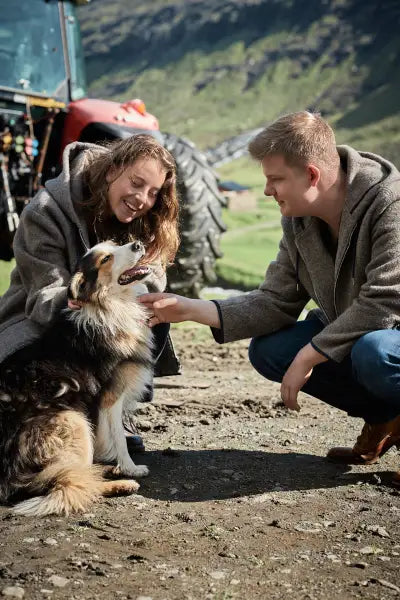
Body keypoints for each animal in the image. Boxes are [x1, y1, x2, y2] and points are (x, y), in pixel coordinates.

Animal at [0, 239, 155, 516]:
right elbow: (119, 437)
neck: (111, 305)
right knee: (68, 483)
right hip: (74, 421)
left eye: (115, 244)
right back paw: (123, 483)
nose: (137, 244)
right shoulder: (111, 396)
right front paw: (130, 467)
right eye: (105, 259)